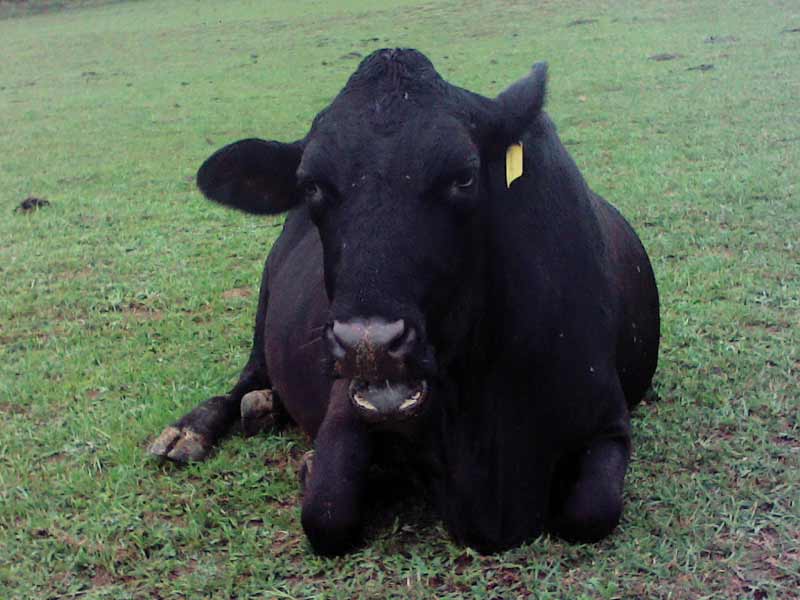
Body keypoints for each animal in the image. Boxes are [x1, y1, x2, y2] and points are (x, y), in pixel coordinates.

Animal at [152, 49, 664, 556]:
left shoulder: (608, 420)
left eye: (464, 177)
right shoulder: (346, 406)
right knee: (244, 378)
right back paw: (193, 429)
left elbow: (591, 512)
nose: (369, 344)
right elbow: (328, 512)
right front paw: (319, 468)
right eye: (311, 185)